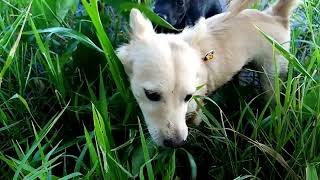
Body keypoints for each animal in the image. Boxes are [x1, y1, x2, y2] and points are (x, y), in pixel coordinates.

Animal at [116, 0, 298, 148]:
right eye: (151, 95)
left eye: (188, 97)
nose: (177, 144)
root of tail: (276, 16)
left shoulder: (197, 106)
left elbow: (196, 120)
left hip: (271, 76)